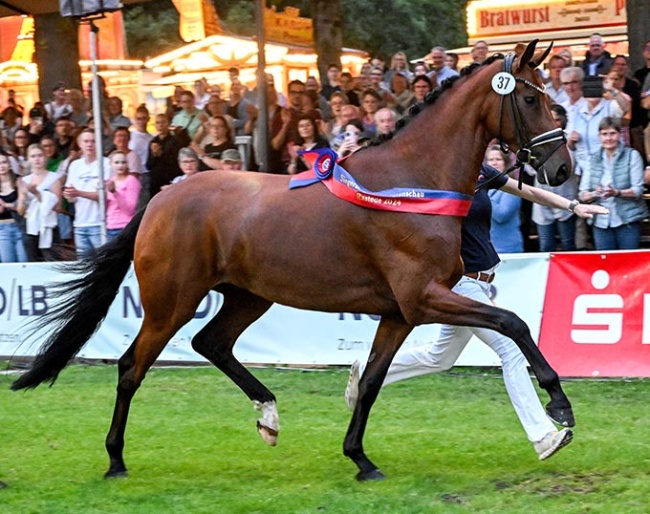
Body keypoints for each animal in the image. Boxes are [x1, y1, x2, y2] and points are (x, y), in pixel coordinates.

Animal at [12, 41, 572, 480]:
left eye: (549, 95)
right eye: (529, 98)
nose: (563, 168)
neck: (410, 185)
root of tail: (160, 197)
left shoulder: (400, 311)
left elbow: (371, 381)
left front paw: (360, 458)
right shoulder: (424, 297)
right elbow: (514, 322)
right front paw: (560, 408)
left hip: (247, 296)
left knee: (210, 343)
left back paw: (269, 416)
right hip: (171, 301)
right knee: (133, 365)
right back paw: (115, 460)